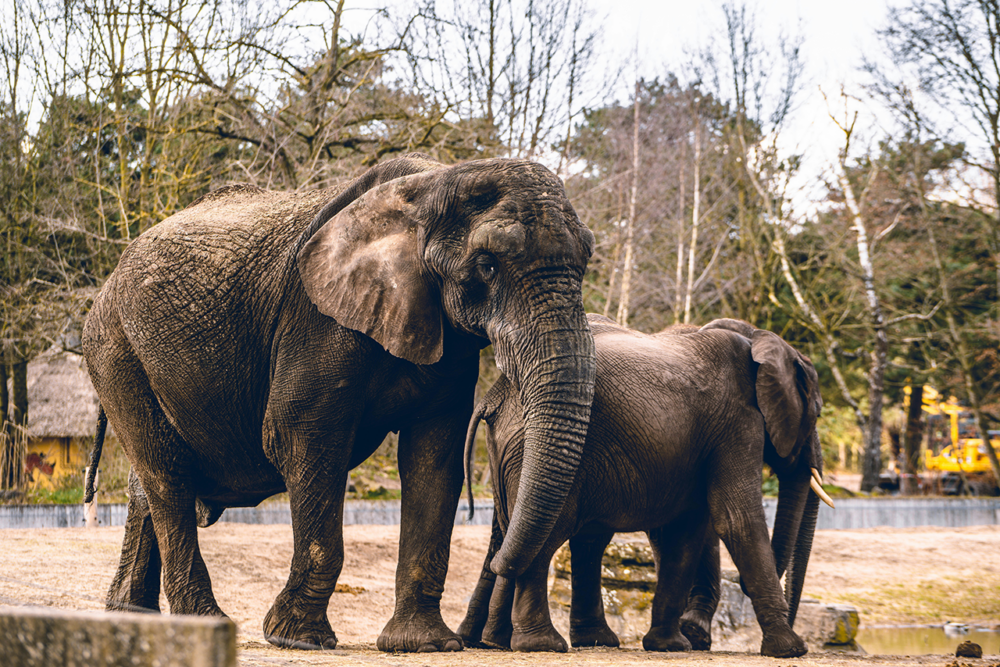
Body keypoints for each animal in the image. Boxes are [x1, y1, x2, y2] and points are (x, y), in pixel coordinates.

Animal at [82, 155, 592, 652]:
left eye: (586, 261)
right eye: (487, 266)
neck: (437, 182)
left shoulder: (446, 340)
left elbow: (432, 456)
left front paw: (423, 644)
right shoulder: (316, 319)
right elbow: (302, 437)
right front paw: (297, 638)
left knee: (151, 480)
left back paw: (133, 615)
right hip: (116, 349)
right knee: (167, 476)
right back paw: (204, 622)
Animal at [460, 318, 836, 656]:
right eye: (817, 411)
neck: (757, 340)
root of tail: (495, 396)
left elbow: (683, 533)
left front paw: (672, 645)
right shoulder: (736, 423)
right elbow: (735, 519)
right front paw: (790, 650)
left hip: (519, 455)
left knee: (521, 534)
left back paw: (502, 641)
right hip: (540, 450)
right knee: (547, 536)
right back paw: (541, 644)